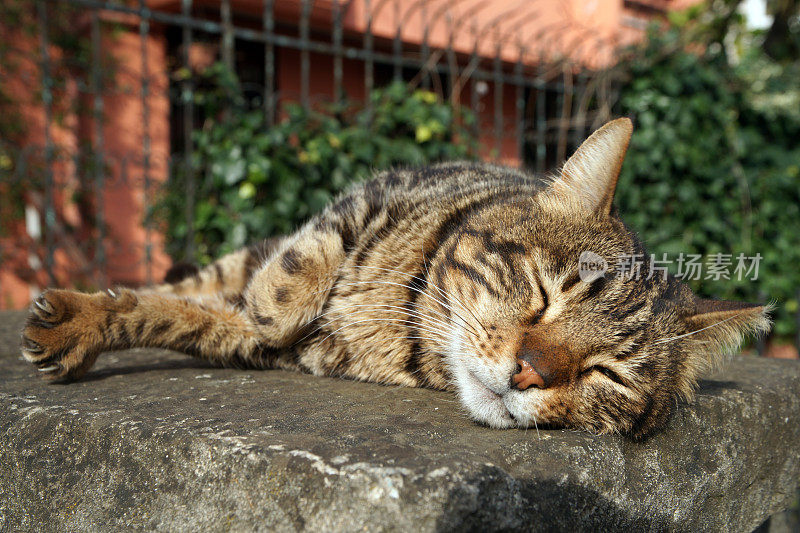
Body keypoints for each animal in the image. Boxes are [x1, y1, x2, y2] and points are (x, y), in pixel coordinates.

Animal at [18, 119, 768, 436]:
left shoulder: (257, 344)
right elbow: (284, 283)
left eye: (606, 373)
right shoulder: (368, 197)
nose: (527, 373)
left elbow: (197, 318)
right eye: (545, 291)